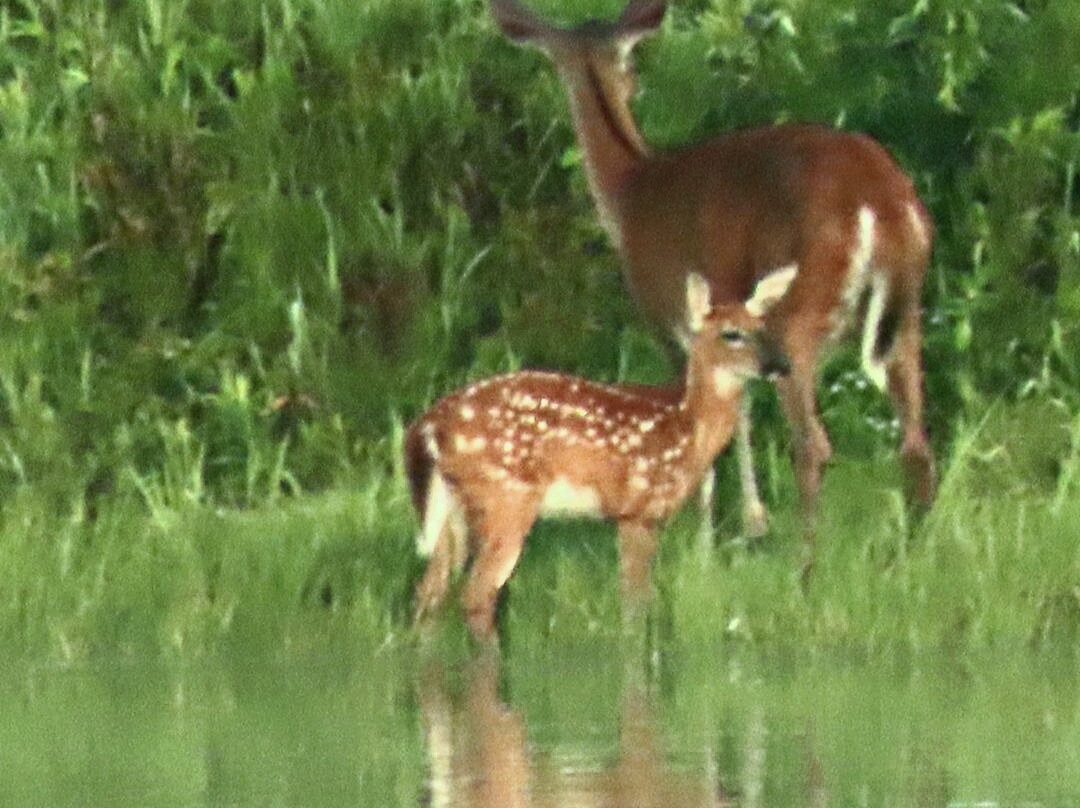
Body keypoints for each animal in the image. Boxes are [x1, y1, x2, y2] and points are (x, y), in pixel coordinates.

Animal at [406, 267, 794, 639]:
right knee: (475, 595)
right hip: (505, 496)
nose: (781, 365)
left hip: (453, 506)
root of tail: (429, 423)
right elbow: (637, 603)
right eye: (732, 334)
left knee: (429, 594)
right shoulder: (639, 508)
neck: (687, 426)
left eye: (762, 327)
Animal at [492, 0, 937, 546]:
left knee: (814, 444)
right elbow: (737, 412)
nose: (635, 85)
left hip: (801, 307)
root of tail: (883, 198)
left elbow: (700, 424)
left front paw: (706, 539)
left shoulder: (670, 319)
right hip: (906, 308)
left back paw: (807, 559)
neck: (629, 193)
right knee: (916, 442)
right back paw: (912, 548)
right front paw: (749, 525)